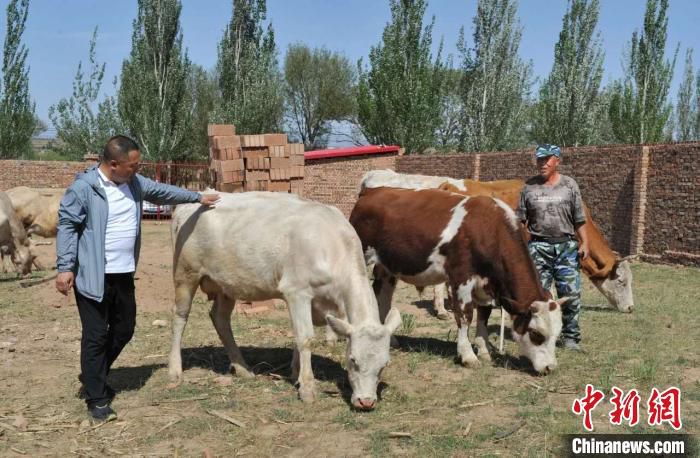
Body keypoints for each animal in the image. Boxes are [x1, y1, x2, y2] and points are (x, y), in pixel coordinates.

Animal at [167, 191, 402, 410]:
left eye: (384, 364)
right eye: (353, 360)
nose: (366, 402)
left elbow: (297, 337)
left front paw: (296, 373)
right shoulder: (297, 292)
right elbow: (305, 338)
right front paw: (307, 388)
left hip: (226, 284)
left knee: (220, 318)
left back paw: (242, 368)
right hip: (185, 273)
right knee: (180, 317)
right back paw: (175, 370)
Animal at [348, 187, 564, 376]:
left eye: (557, 335)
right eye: (536, 334)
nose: (550, 368)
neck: (489, 228)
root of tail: (372, 191)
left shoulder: (486, 284)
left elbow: (484, 315)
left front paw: (483, 350)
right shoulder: (461, 277)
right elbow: (465, 315)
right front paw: (468, 355)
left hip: (387, 268)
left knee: (382, 297)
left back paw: (390, 339)